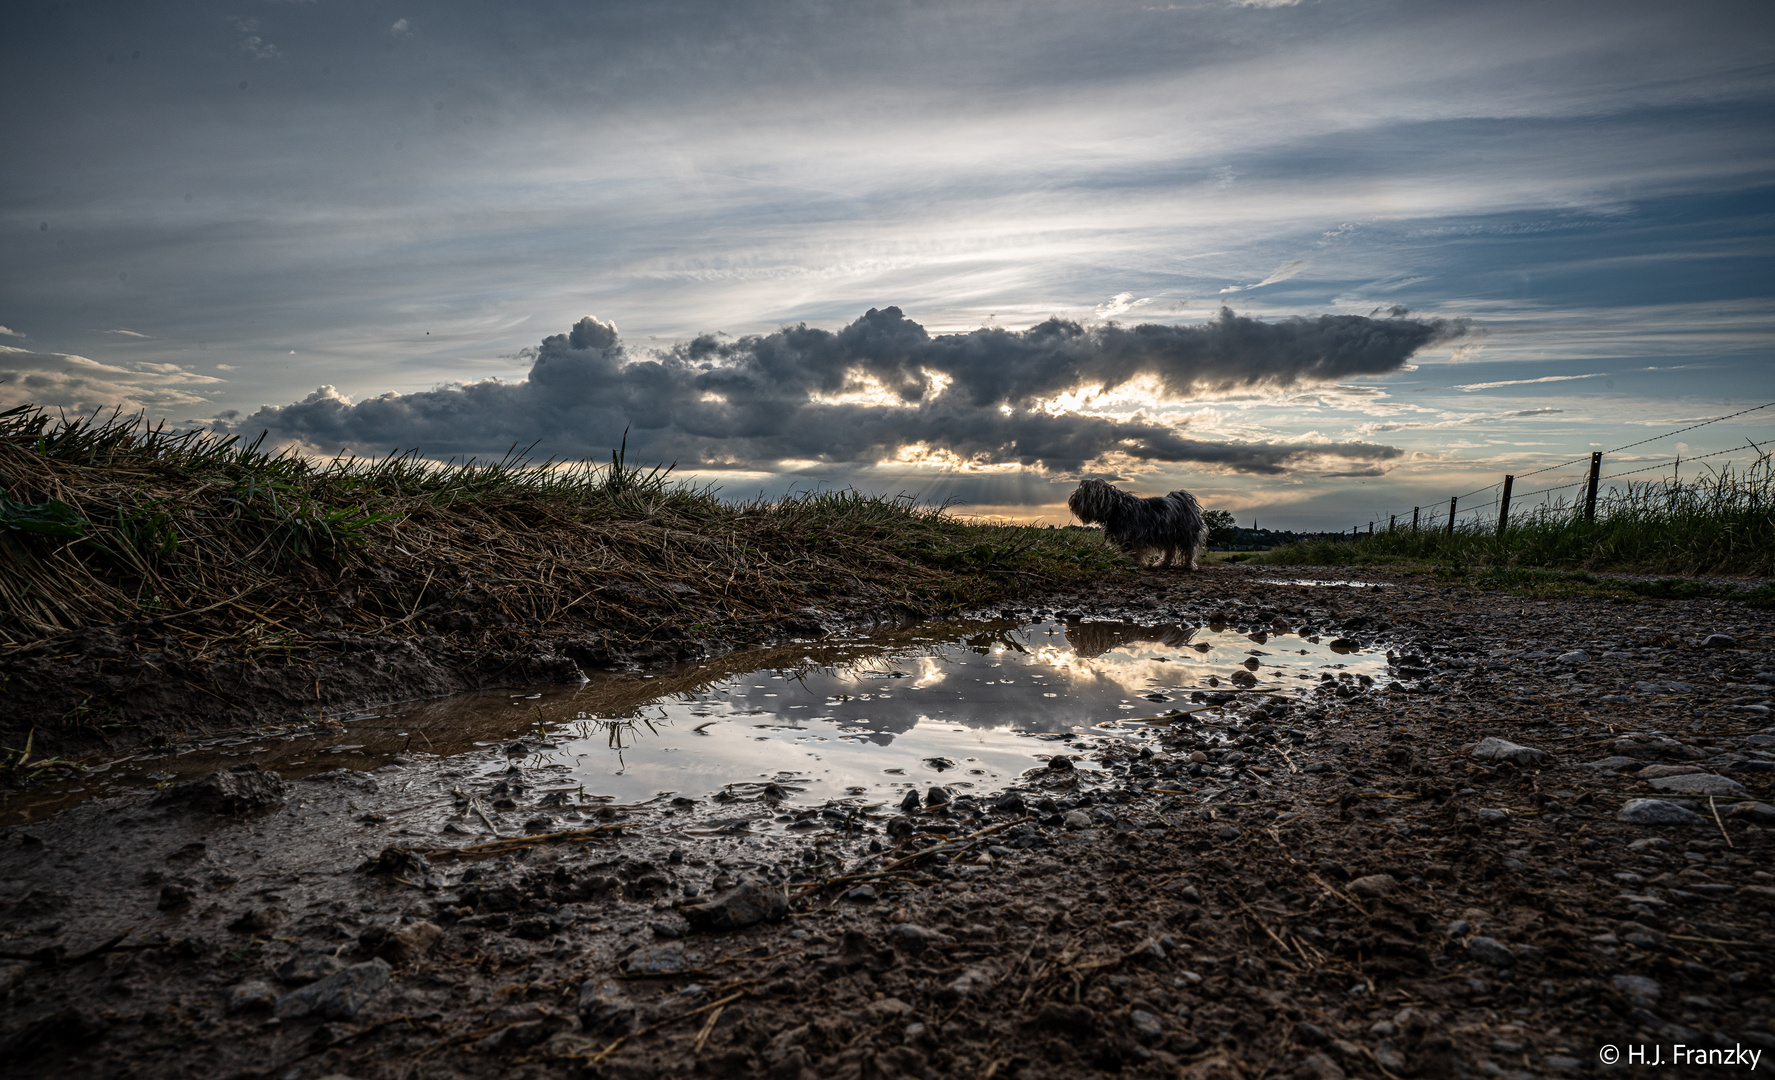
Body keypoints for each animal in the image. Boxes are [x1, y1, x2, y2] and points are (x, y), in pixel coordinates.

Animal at [1065, 476, 1207, 568]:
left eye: (1083, 493)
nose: (1072, 499)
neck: (1116, 508)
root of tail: (1182, 499)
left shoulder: (1134, 536)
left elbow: (1135, 552)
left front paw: (1133, 562)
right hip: (1169, 536)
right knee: (1170, 551)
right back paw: (1163, 563)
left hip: (1186, 534)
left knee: (1188, 551)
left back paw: (1187, 565)